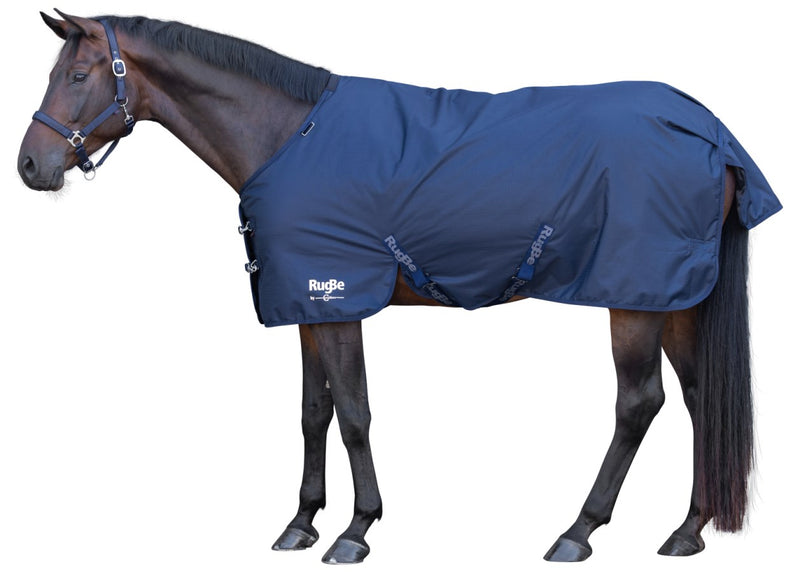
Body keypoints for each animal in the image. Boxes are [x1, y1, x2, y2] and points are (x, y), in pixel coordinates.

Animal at [17, 11, 781, 565]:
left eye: (79, 73)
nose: (30, 165)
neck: (289, 136)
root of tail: (711, 132)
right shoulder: (306, 305)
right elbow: (313, 413)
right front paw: (300, 521)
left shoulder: (337, 299)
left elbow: (354, 413)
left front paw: (356, 530)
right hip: (675, 300)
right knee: (701, 398)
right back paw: (688, 528)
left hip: (634, 300)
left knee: (639, 403)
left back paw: (578, 531)